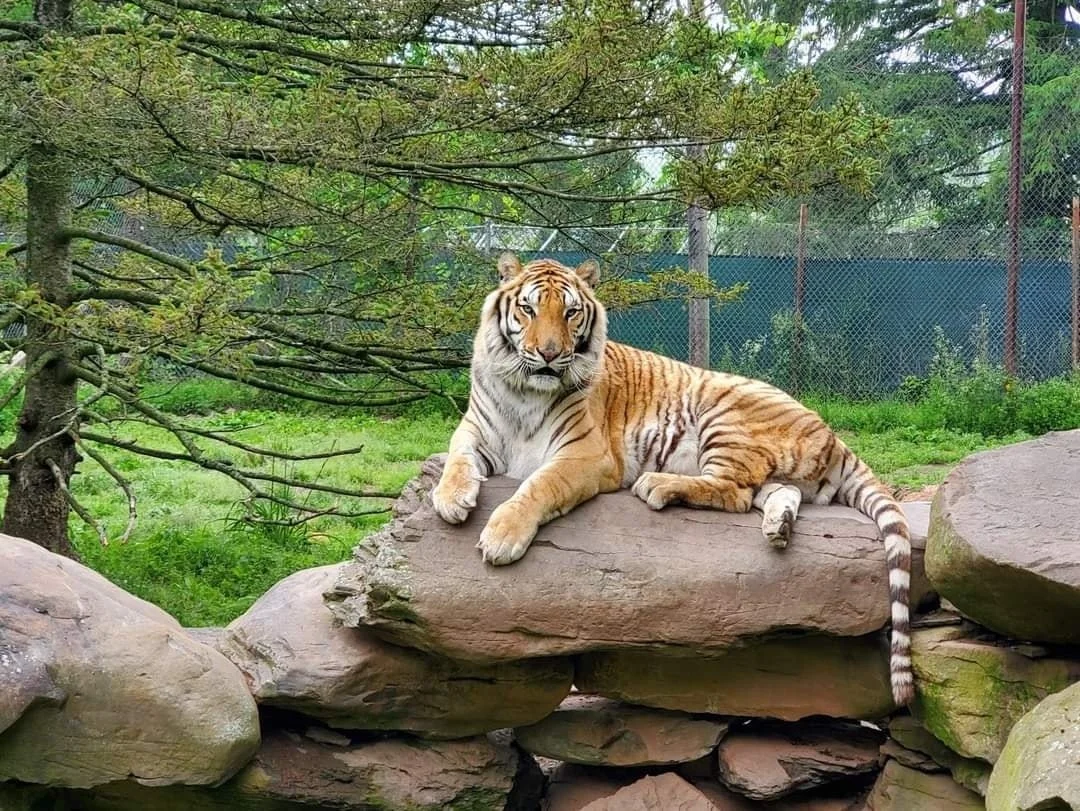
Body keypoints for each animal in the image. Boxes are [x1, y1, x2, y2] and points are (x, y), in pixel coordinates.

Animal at [431, 251, 914, 707]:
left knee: (734, 491)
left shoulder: (585, 454)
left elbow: (537, 486)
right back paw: (778, 526)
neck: (524, 393)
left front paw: (501, 537)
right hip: (768, 468)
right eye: (528, 309)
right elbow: (456, 458)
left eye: (569, 313)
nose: (549, 355)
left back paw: (658, 485)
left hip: (724, 414)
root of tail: (832, 434)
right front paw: (451, 499)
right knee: (774, 491)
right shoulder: (475, 430)